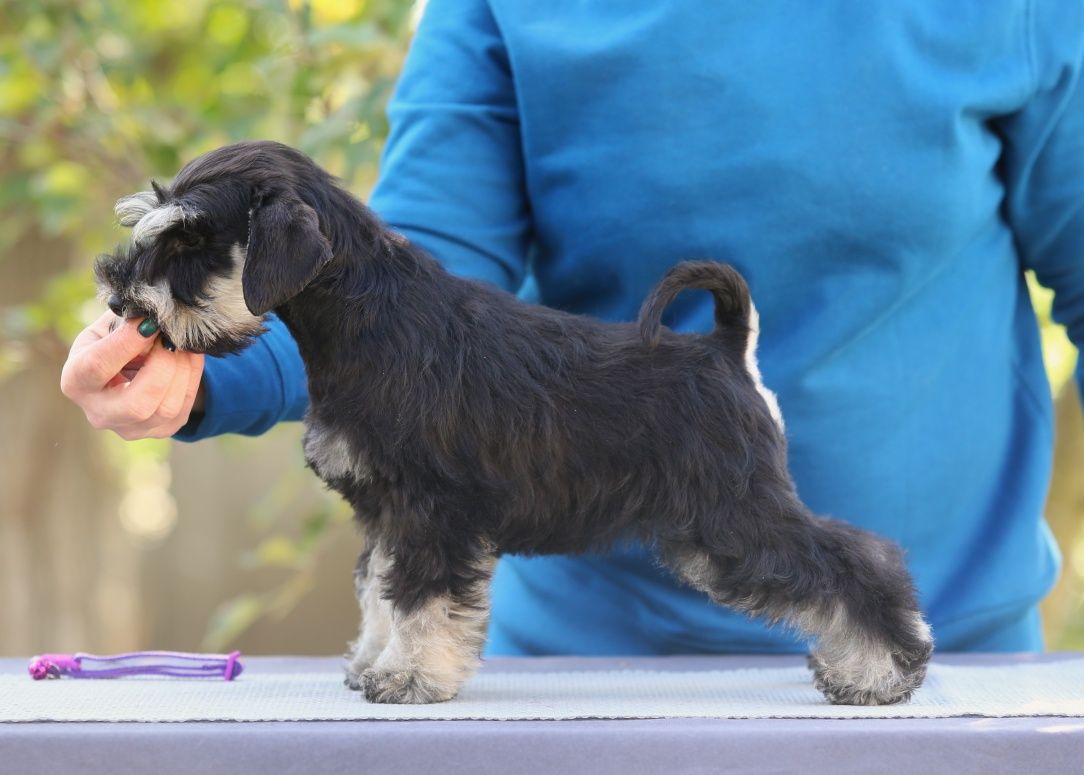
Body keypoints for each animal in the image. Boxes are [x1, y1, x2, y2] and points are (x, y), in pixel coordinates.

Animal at [95, 140, 932, 711]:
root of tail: (726, 347)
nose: (116, 297)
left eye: (189, 240)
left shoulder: (430, 511)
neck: (363, 322)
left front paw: (410, 676)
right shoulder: (385, 512)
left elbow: (419, 599)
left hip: (733, 518)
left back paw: (879, 669)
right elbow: (379, 591)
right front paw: (373, 662)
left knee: (859, 560)